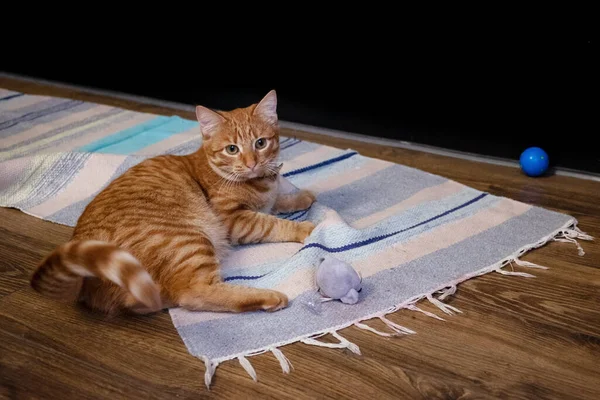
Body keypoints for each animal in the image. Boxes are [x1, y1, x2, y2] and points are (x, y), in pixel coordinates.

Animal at [29, 90, 316, 316]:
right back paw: (270, 297)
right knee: (192, 294)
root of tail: (86, 283)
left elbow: (276, 203)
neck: (257, 181)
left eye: (261, 143)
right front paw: (309, 228)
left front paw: (301, 197)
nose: (251, 163)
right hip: (188, 239)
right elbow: (272, 223)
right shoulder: (235, 220)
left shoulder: (265, 199)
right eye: (232, 149)